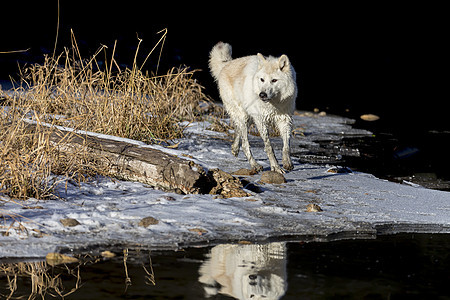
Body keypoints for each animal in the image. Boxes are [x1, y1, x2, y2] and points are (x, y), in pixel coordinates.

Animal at [209, 42, 298, 173]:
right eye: (262, 80)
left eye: (274, 80)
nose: (262, 95)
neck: (274, 104)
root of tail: (227, 64)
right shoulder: (260, 121)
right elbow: (269, 147)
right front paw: (276, 167)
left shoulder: (285, 119)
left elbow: (286, 145)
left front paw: (287, 163)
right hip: (243, 116)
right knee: (245, 144)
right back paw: (255, 165)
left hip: (248, 118)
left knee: (238, 132)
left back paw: (235, 149)